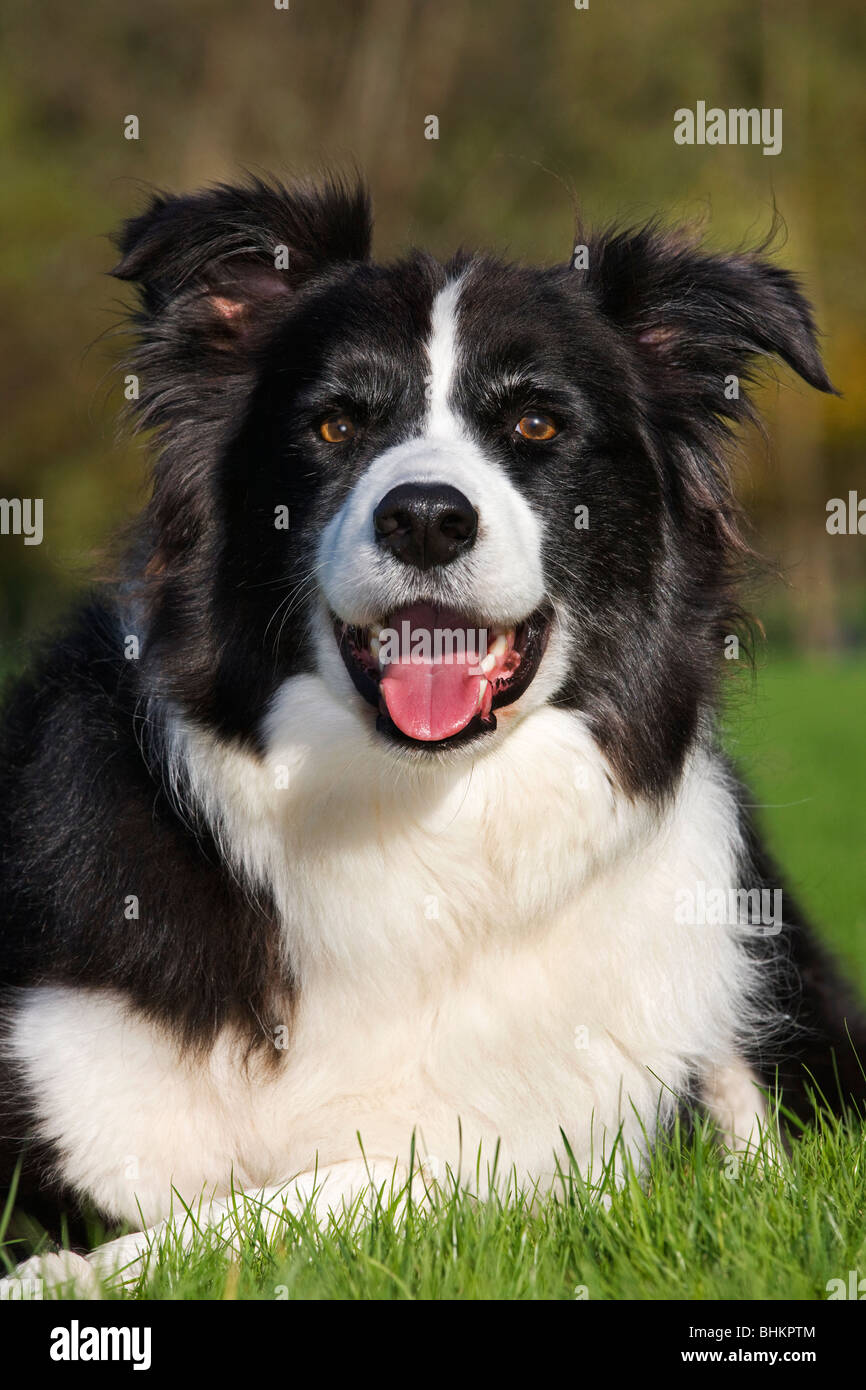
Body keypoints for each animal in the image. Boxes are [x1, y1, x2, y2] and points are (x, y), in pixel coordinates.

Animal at [1, 176, 866, 1289]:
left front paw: (81, 1271)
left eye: (537, 423)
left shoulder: (552, 1143)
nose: (422, 518)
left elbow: (332, 1190)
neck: (412, 812)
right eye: (333, 426)